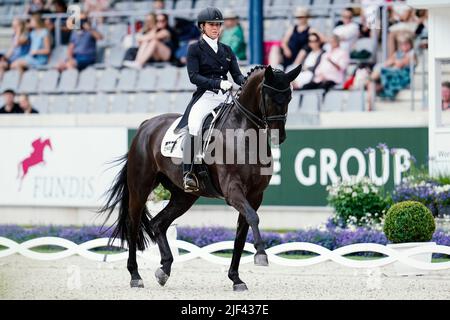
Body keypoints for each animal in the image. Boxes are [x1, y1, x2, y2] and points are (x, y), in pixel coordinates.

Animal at [99, 63, 302, 292]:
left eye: (289, 97)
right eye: (268, 96)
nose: (279, 136)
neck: (244, 135)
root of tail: (146, 125)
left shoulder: (255, 195)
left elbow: (241, 233)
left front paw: (236, 279)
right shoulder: (233, 191)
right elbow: (253, 218)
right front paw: (260, 254)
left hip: (184, 196)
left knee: (158, 224)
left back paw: (164, 269)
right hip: (140, 187)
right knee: (133, 225)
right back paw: (135, 275)